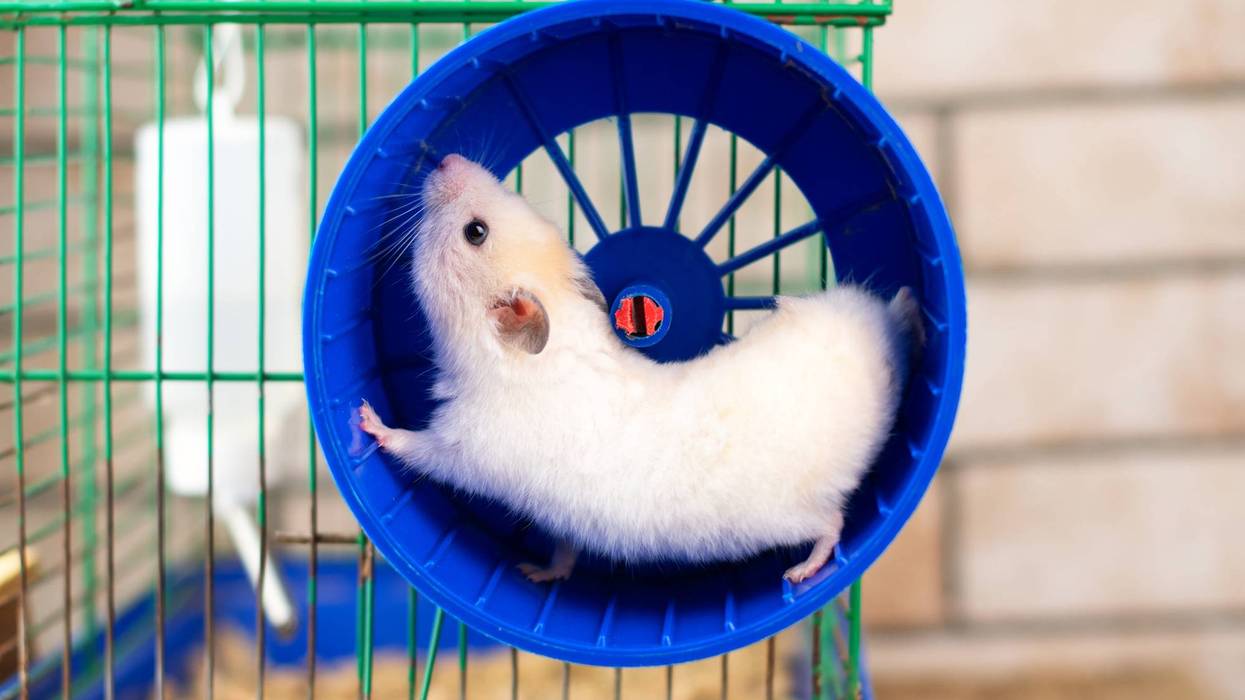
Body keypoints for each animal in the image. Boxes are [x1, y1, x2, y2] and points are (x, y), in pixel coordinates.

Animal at [357, 154, 922, 584]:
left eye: (475, 232)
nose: (444, 157)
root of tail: (881, 346)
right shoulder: (561, 521)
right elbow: (563, 548)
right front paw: (535, 572)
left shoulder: (466, 446)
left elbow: (419, 448)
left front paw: (366, 418)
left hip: (787, 516)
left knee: (832, 523)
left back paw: (801, 572)